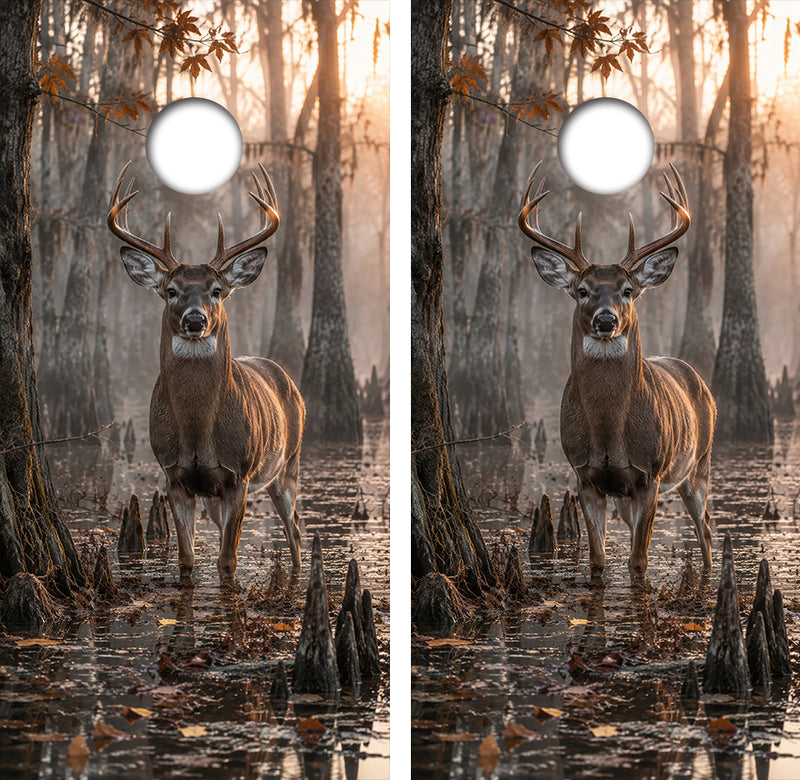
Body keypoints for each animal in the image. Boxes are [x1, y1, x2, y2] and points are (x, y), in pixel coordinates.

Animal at [107, 162, 305, 578]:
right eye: (171, 290)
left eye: (216, 290)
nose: (195, 319)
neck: (198, 430)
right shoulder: (174, 475)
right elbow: (187, 559)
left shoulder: (239, 475)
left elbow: (228, 562)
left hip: (288, 463)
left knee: (294, 526)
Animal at [518, 162, 715, 578]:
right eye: (581, 290)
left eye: (627, 290)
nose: (606, 320)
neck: (609, 431)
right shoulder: (585, 475)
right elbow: (598, 559)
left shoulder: (649, 474)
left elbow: (638, 561)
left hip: (699, 463)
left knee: (705, 526)